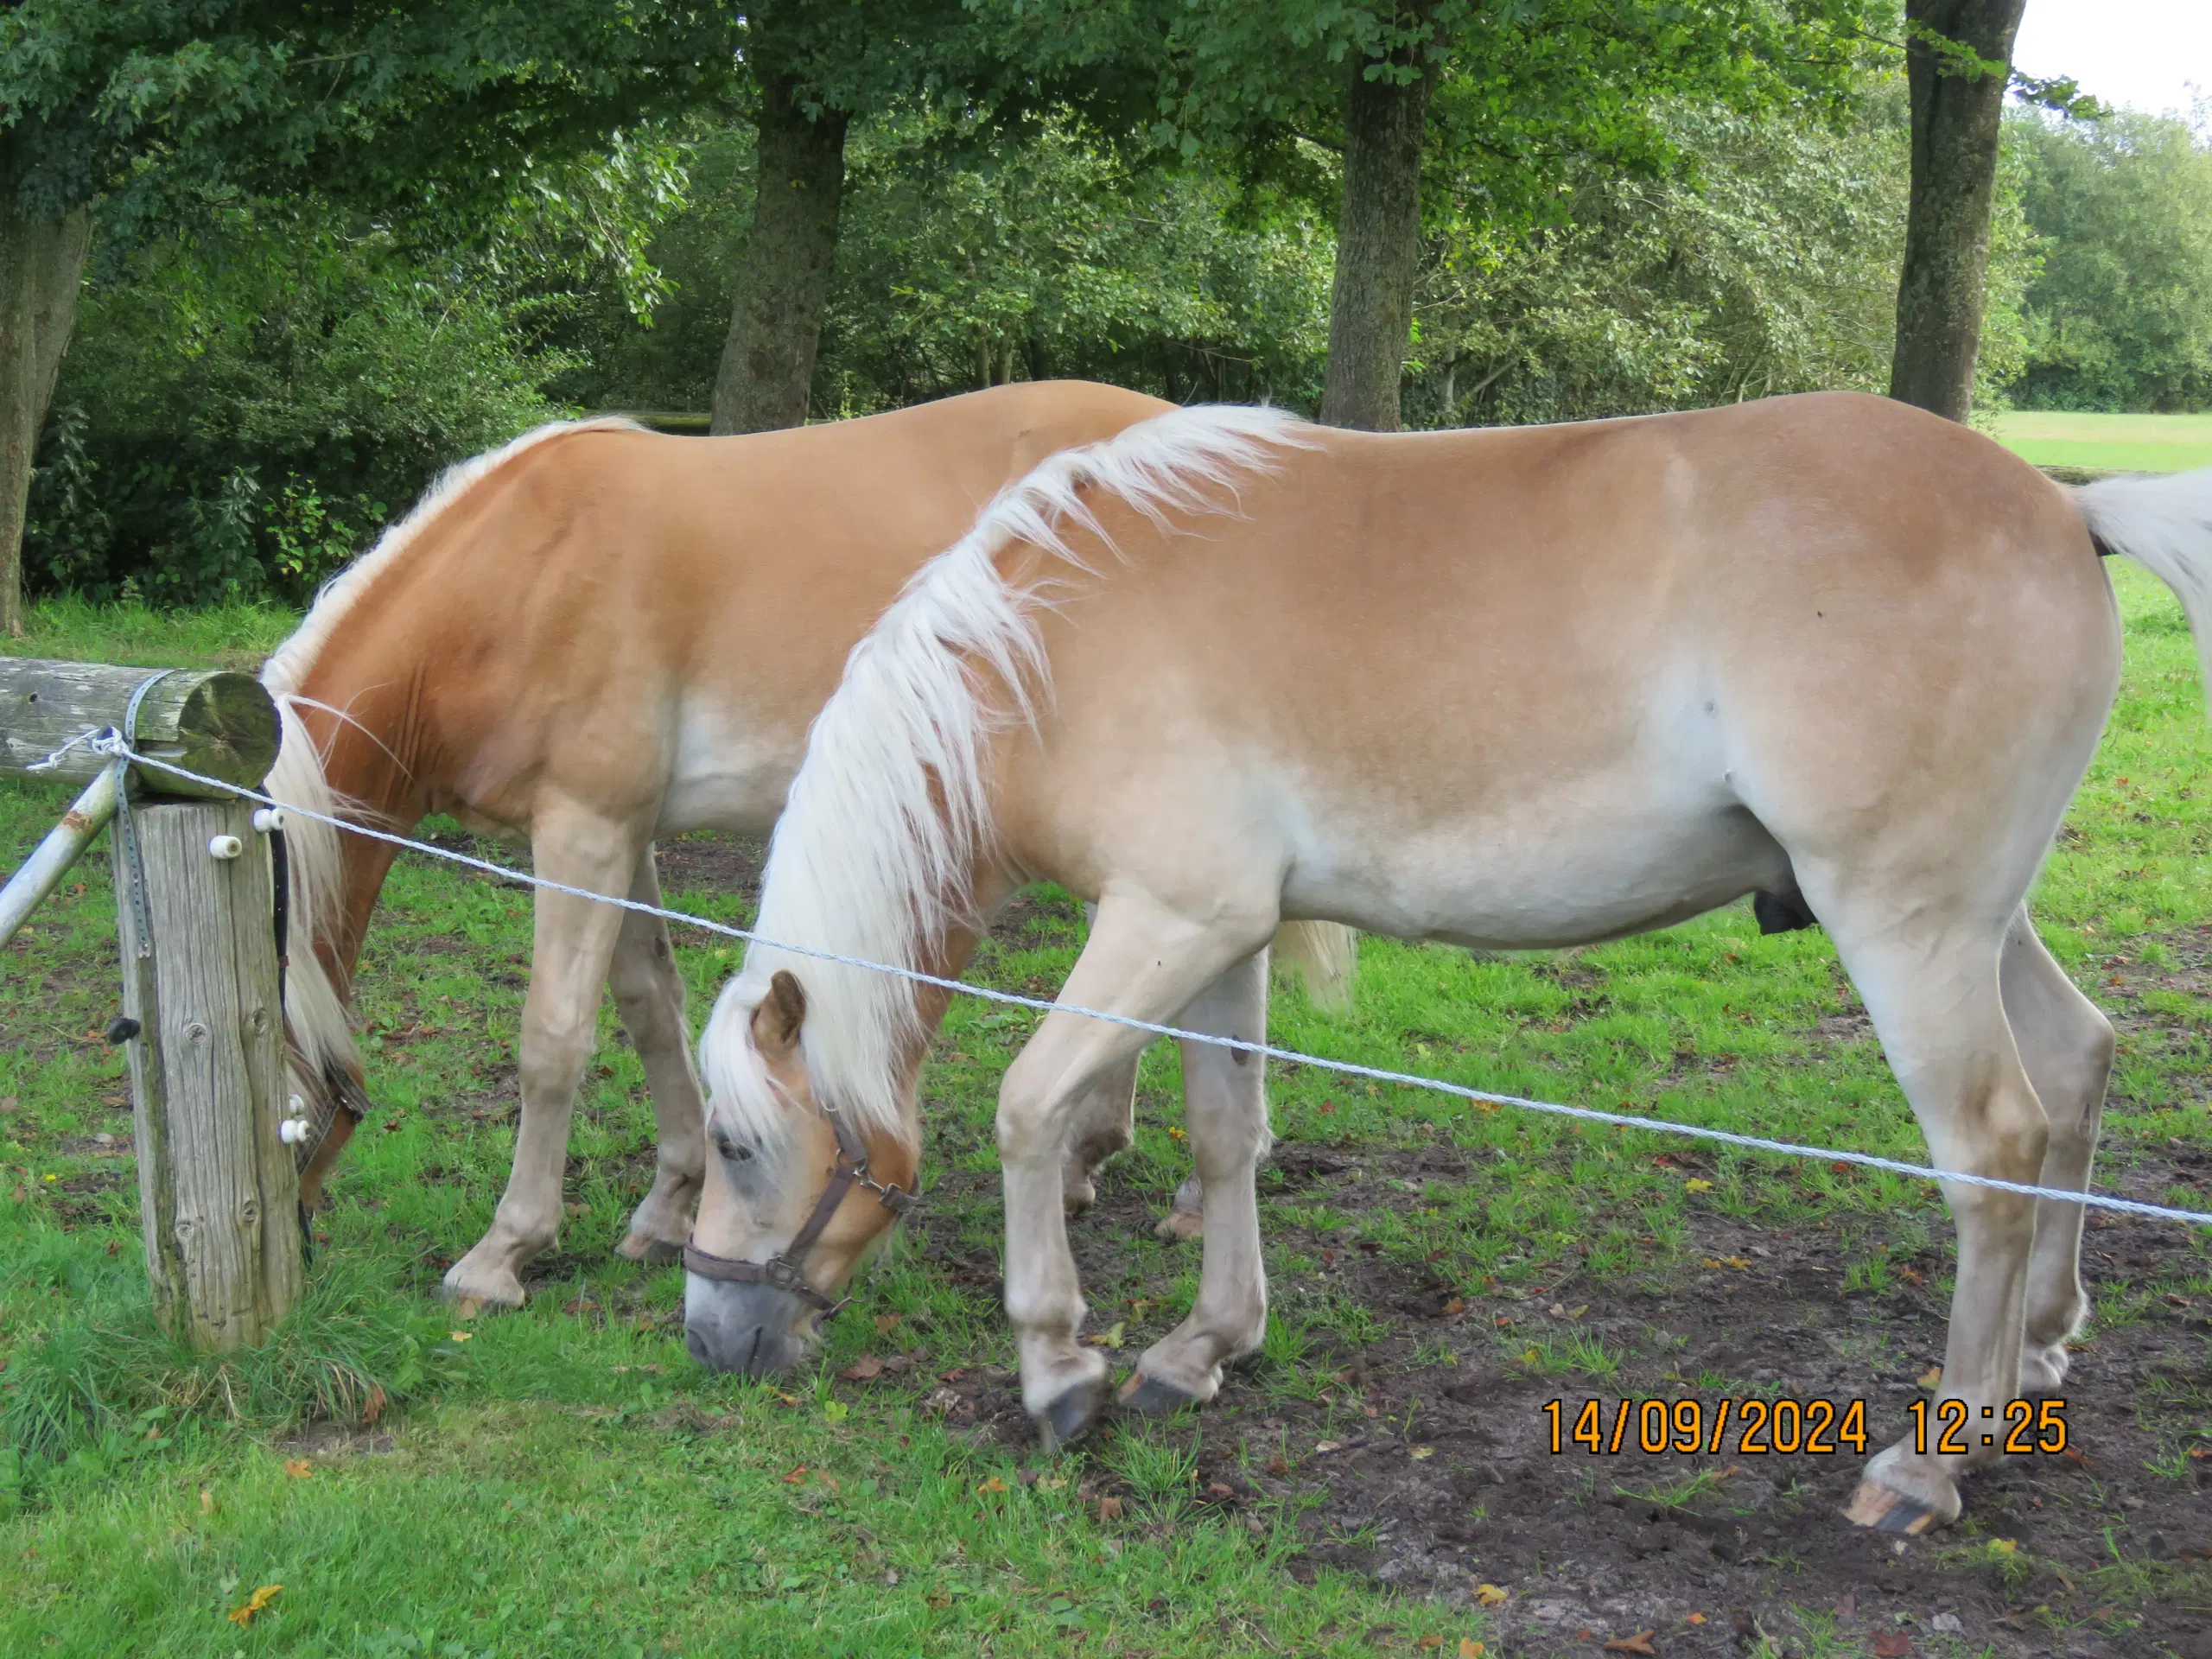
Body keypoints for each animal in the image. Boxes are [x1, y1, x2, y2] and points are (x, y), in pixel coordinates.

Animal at [258, 382, 1353, 1318]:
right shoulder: (623, 834)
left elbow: (553, 1041)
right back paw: (1093, 1161)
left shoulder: (582, 827)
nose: (287, 1237)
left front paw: (502, 1254)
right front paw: (668, 1203)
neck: (518, 576)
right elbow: (648, 1005)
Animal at [685, 396, 2212, 1539]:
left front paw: (1060, 1368)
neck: (1054, 644)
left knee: (1992, 1151)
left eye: (737, 1146)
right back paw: (2038, 1354)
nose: (709, 1340)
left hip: (1905, 927)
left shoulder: (1163, 921)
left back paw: (1934, 1458)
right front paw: (1204, 1347)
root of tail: (2062, 507)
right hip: (1975, 923)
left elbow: (1030, 1109)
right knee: (2076, 1067)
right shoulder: (1215, 932)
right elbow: (1225, 1130)